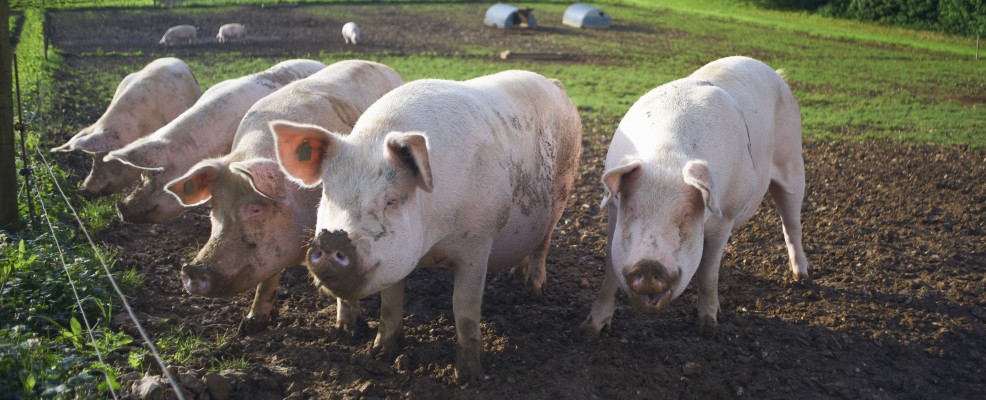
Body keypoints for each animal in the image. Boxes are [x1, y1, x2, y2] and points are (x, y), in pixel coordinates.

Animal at [164, 60, 404, 334]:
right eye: (213, 208)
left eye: (255, 209)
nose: (194, 268)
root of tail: (380, 65)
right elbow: (267, 279)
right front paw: (252, 323)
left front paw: (349, 331)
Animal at [271, 70, 582, 381]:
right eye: (328, 192)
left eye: (391, 200)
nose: (333, 239)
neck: (433, 243)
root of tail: (553, 84)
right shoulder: (398, 257)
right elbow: (390, 303)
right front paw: (379, 353)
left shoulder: (478, 243)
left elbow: (464, 307)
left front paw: (468, 375)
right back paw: (515, 276)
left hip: (563, 188)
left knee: (544, 243)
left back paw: (534, 289)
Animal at [579, 56, 809, 341]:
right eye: (631, 208)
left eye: (686, 215)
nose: (649, 266)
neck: (665, 159)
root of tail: (773, 72)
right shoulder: (612, 210)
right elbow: (610, 272)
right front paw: (589, 331)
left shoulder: (726, 216)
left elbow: (708, 274)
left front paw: (709, 327)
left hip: (793, 161)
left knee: (792, 224)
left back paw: (801, 277)